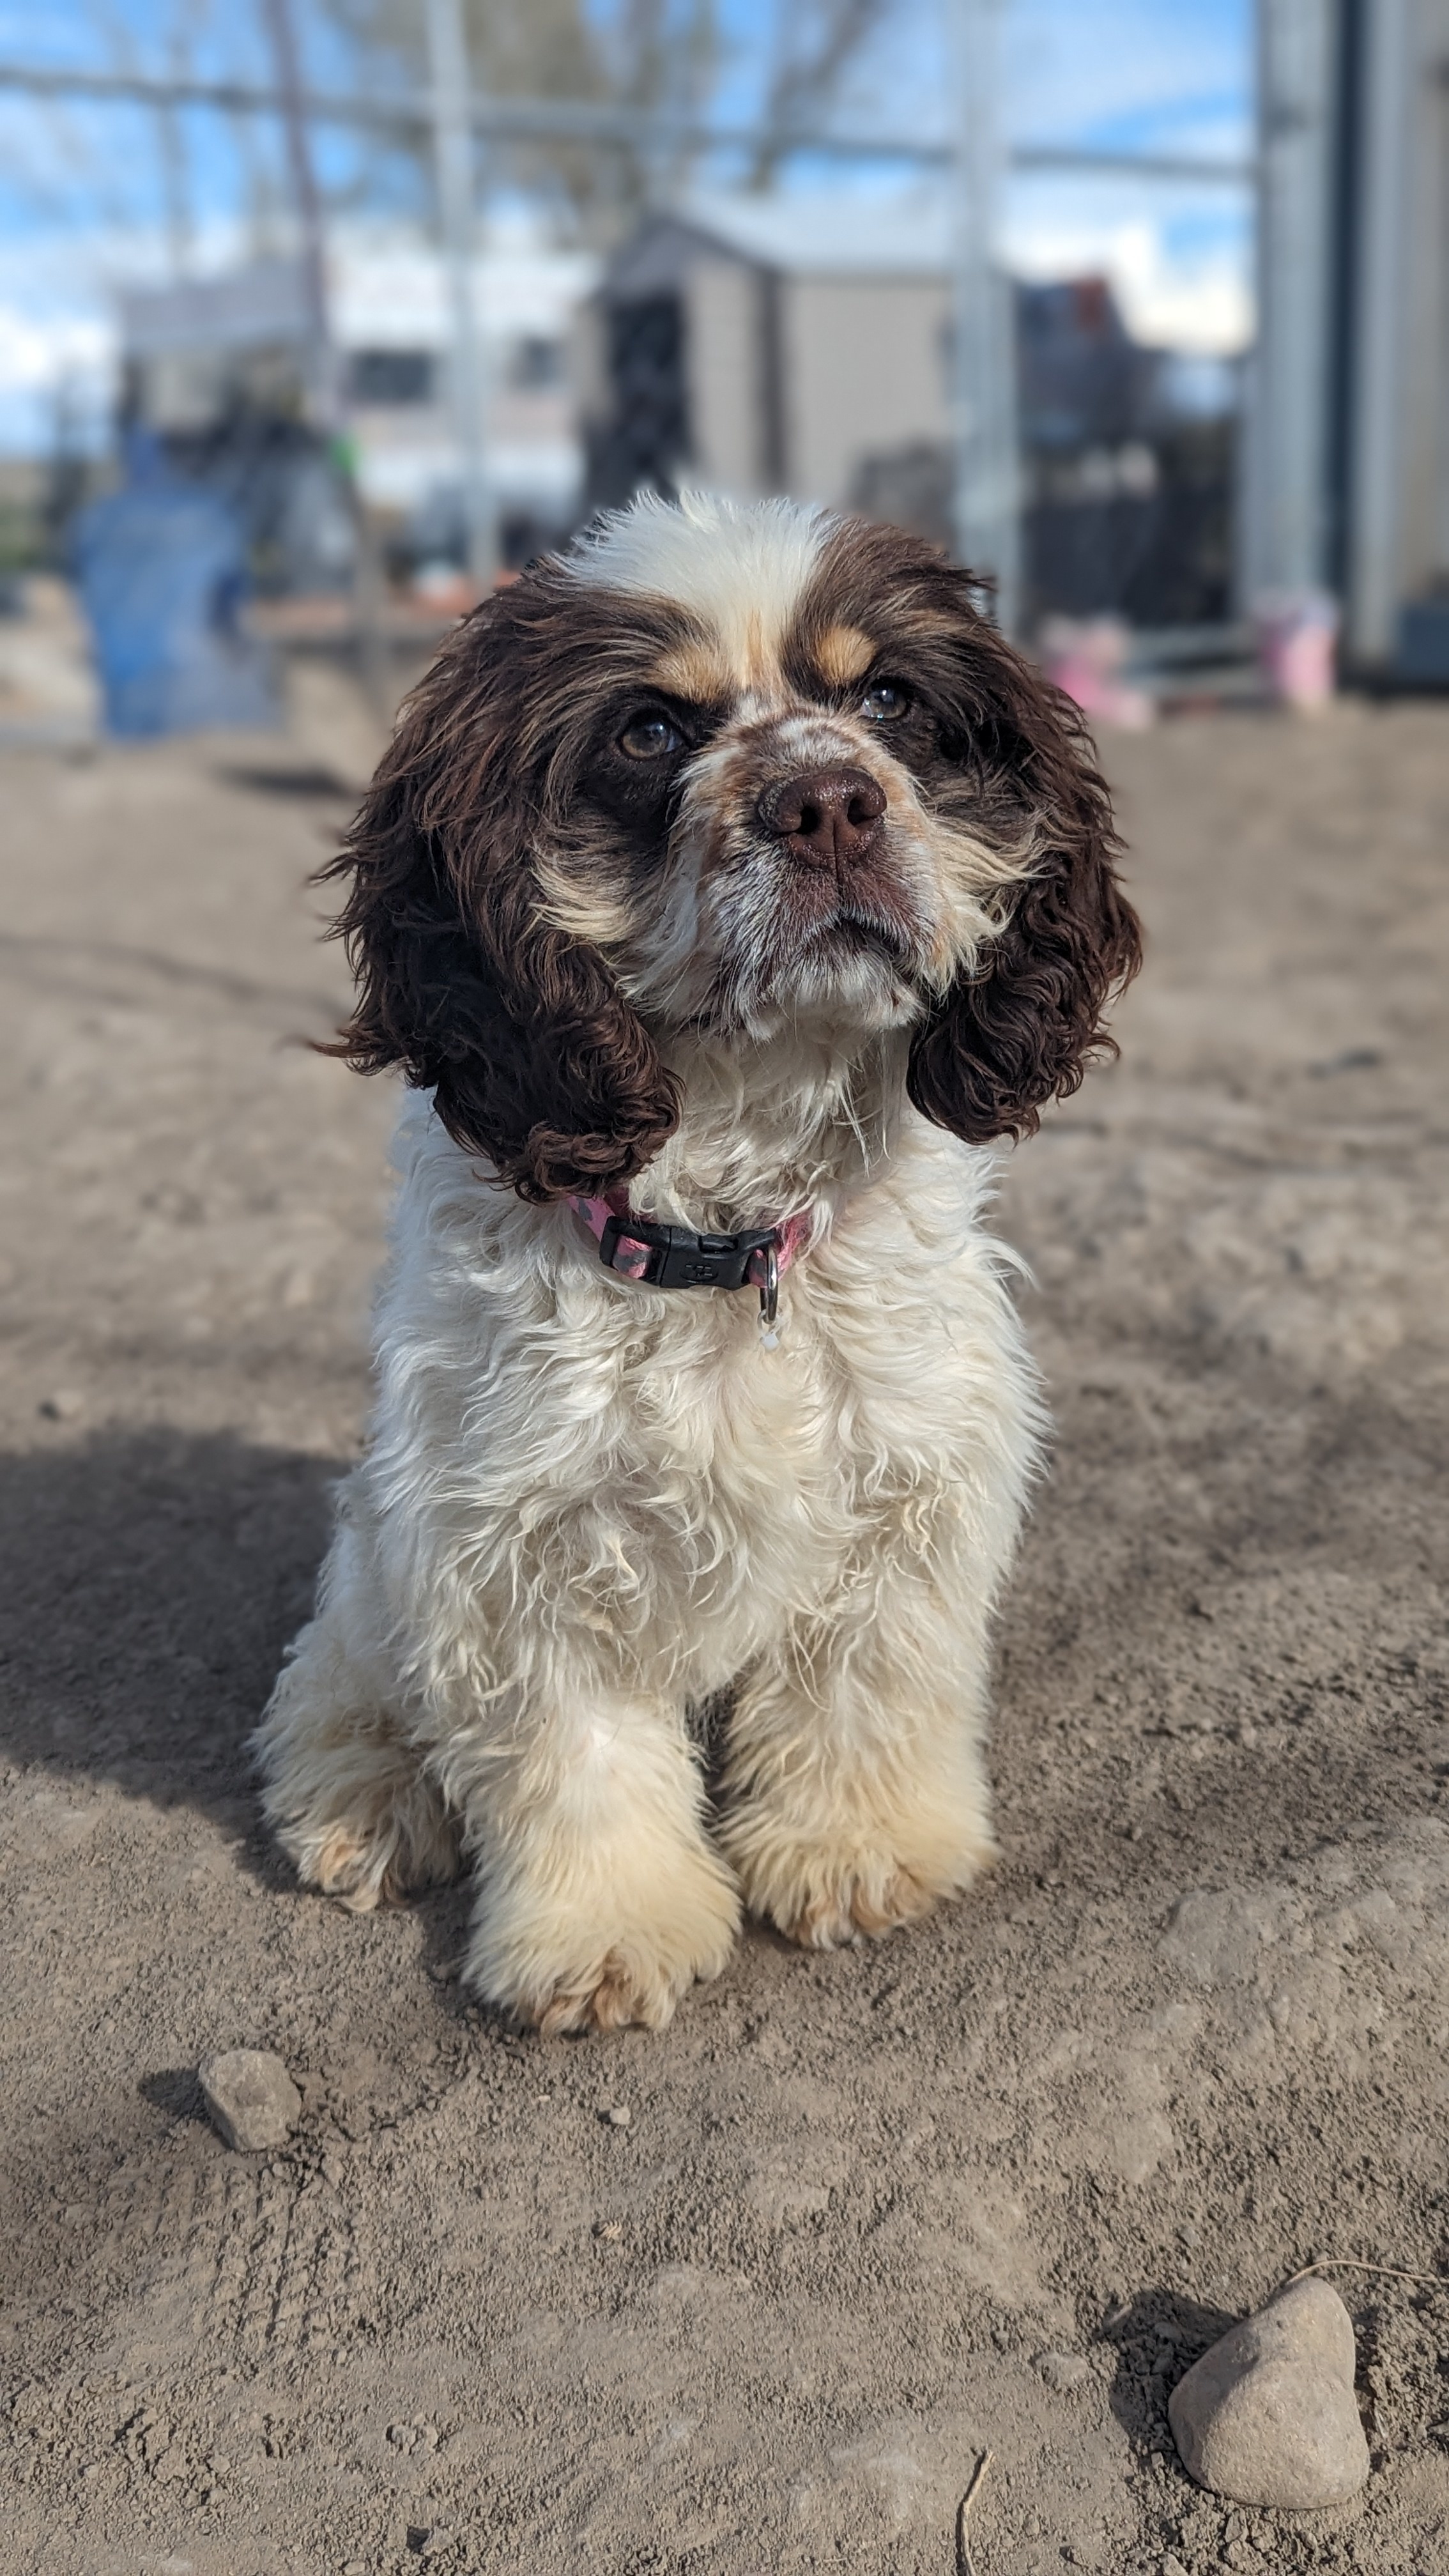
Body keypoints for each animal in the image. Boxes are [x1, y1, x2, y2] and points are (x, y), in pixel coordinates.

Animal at [259, 492, 1139, 2020]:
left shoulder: (903, 1477)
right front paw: (602, 1932)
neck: (729, 1234)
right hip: (379, 1540)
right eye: (649, 731)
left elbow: (863, 1687)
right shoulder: (508, 1536)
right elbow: (575, 1758)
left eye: (887, 701)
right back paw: (363, 1797)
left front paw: (856, 1851)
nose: (828, 800)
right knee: (338, 1665)